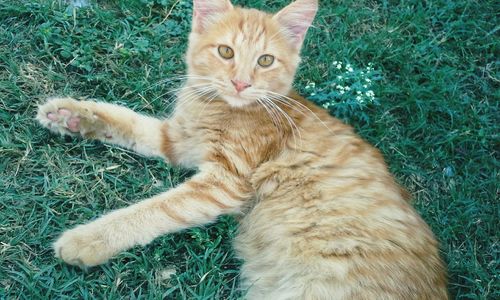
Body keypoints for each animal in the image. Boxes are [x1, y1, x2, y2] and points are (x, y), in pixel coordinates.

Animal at [37, 0, 448, 298]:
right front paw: (69, 115)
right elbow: (125, 120)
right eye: (225, 52)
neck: (221, 108)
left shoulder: (225, 182)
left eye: (265, 60)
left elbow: (151, 211)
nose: (240, 83)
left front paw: (88, 239)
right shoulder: (178, 141)